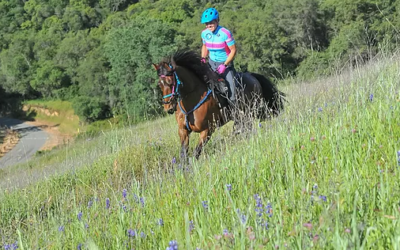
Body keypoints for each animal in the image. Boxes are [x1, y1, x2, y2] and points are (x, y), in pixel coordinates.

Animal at [152, 49, 284, 159]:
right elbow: (183, 155)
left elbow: (196, 153)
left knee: (246, 127)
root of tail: (252, 76)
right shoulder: (183, 131)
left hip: (249, 111)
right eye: (159, 84)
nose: (168, 107)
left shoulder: (208, 130)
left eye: (171, 81)